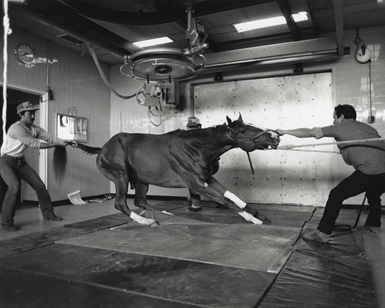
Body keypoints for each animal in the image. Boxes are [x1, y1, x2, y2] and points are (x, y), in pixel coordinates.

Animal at [59, 115, 280, 226]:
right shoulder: (196, 184)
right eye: (243, 130)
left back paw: (160, 213)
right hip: (120, 177)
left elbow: (233, 196)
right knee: (121, 203)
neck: (194, 147)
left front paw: (258, 214)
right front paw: (253, 219)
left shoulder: (208, 179)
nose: (274, 136)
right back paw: (145, 221)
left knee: (140, 201)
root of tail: (102, 149)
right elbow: (226, 201)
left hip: (141, 181)